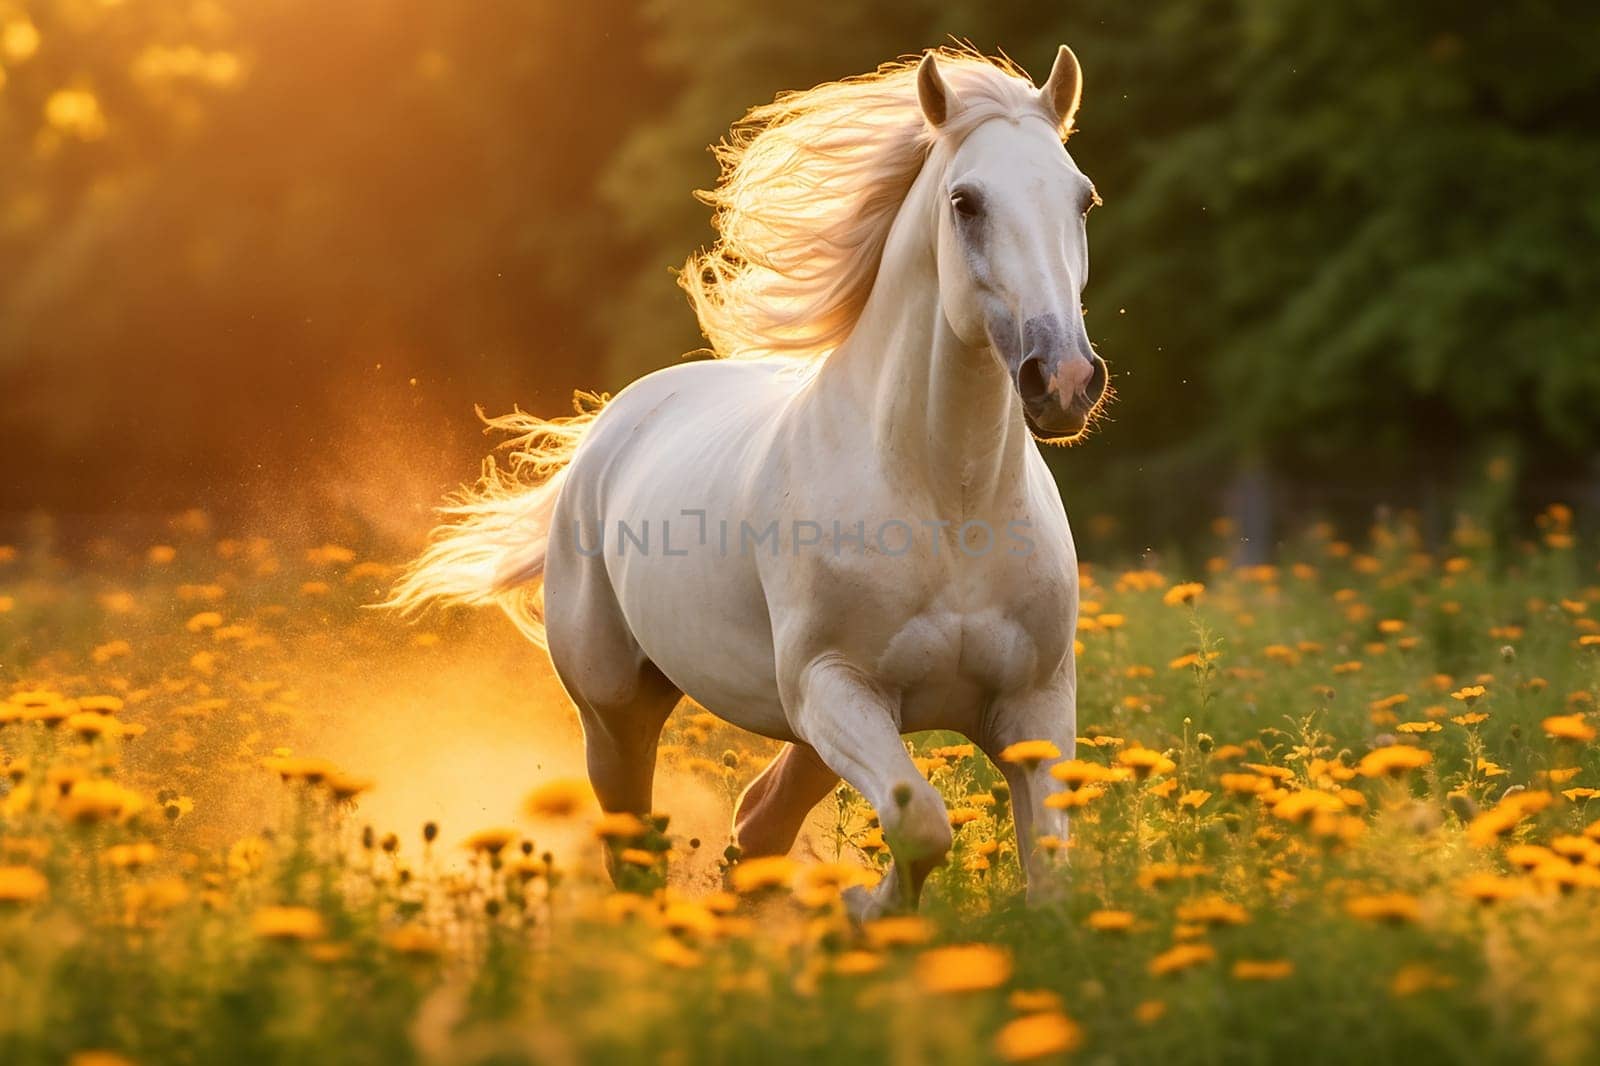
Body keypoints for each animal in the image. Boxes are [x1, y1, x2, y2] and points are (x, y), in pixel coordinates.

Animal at [393, 45, 1107, 915]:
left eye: (1081, 198)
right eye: (965, 202)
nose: (1063, 380)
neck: (950, 503)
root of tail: (613, 426)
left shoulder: (1034, 706)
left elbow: (1049, 871)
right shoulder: (833, 686)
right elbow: (923, 826)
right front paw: (864, 909)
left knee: (761, 816)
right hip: (617, 710)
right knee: (636, 839)